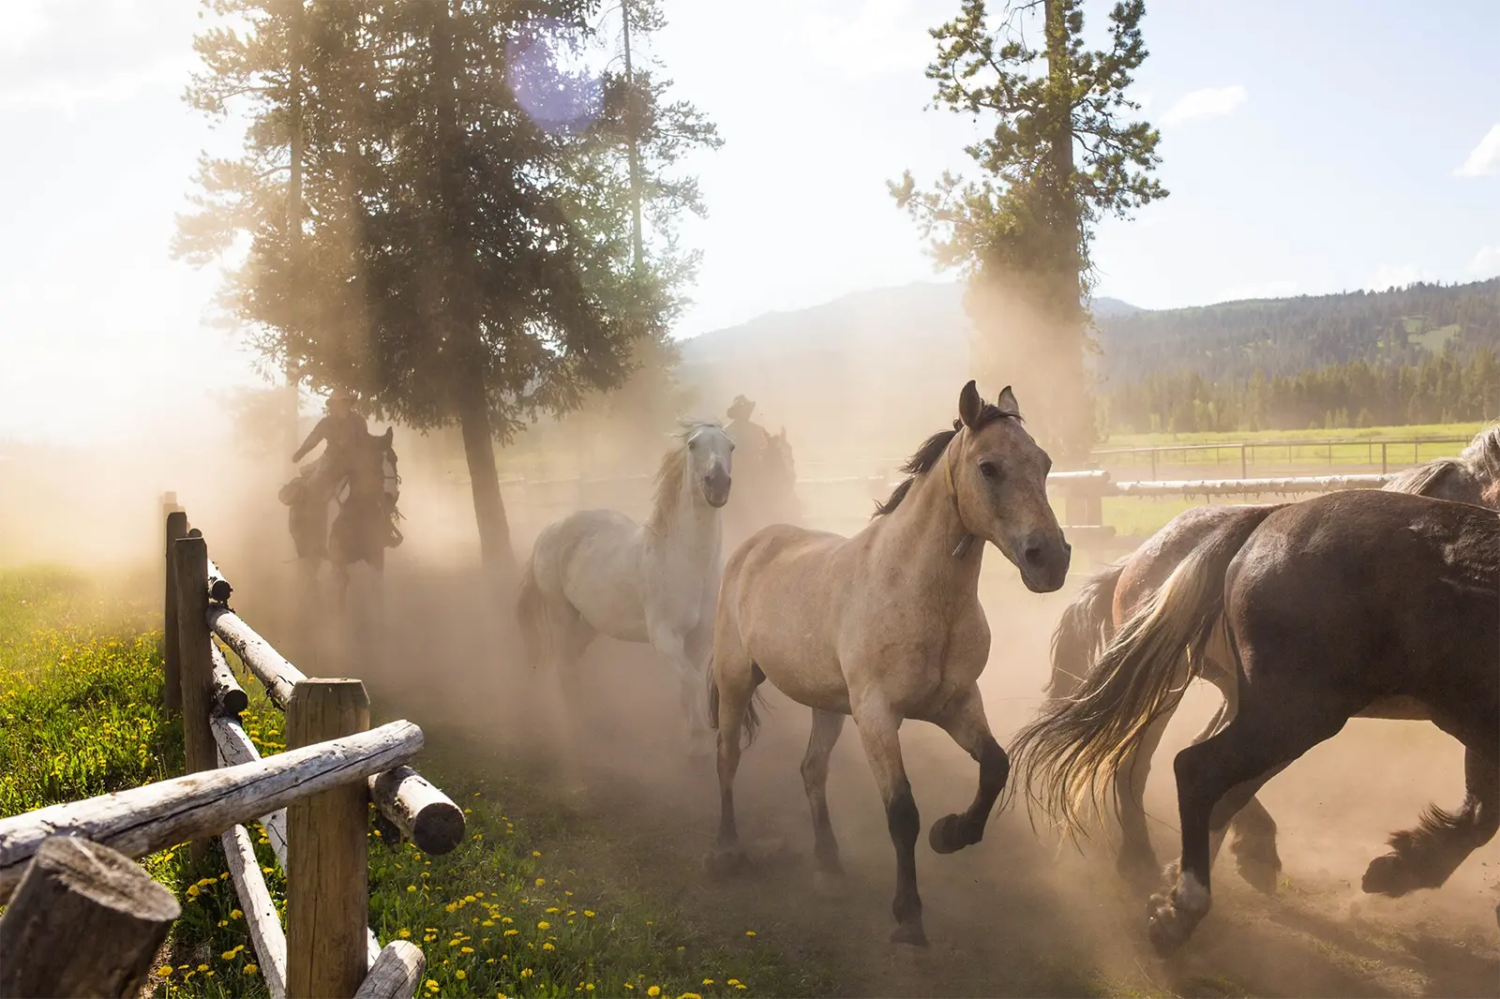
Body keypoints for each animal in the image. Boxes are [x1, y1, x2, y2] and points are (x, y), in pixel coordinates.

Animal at [516, 422, 733, 756]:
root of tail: (549, 529)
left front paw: (690, 738)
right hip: (560, 613)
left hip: (591, 622)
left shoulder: (697, 641)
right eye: (693, 445)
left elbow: (687, 685)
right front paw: (696, 740)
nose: (718, 485)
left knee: (571, 661)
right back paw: (578, 730)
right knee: (565, 668)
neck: (684, 561)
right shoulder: (665, 639)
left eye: (731, 446)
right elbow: (693, 682)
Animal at [705, 381, 1071, 946]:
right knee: (727, 757)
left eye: (1045, 463)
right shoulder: (877, 716)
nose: (1050, 559)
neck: (921, 594)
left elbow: (995, 766)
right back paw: (727, 851)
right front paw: (908, 916)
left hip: (827, 704)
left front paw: (951, 833)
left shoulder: (957, 704)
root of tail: (755, 543)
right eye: (989, 468)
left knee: (812, 770)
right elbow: (901, 812)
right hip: (735, 678)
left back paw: (829, 869)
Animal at [1012, 486, 1500, 953]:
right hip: (1289, 712)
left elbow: (1480, 814)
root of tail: (1265, 517)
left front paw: (1400, 867)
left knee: (1214, 781)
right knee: (1190, 768)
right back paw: (1179, 903)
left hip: (1261, 705)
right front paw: (1400, 869)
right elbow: (1481, 817)